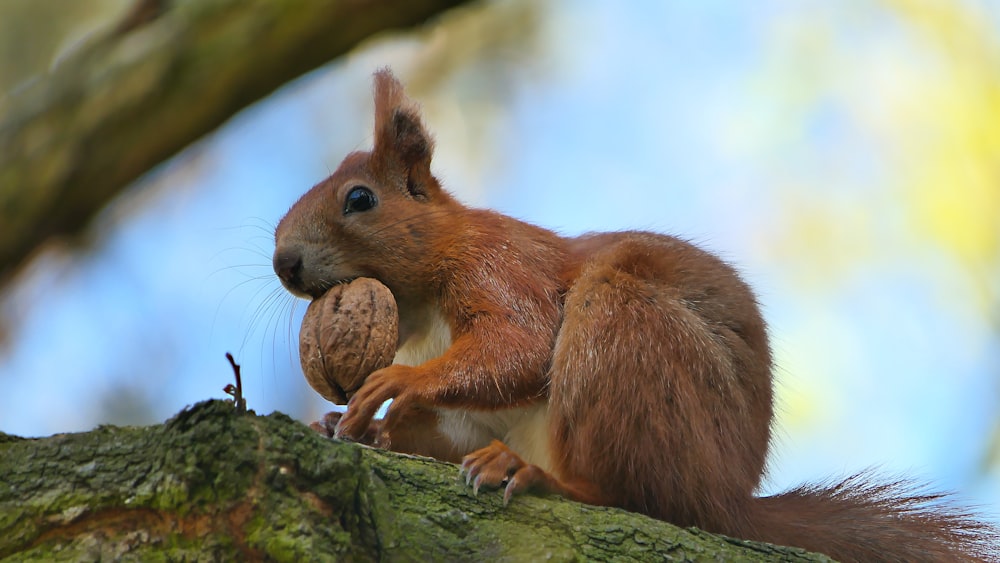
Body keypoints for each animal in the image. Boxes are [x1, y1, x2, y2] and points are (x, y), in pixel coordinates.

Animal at [274, 70, 1000, 563]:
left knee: (636, 495)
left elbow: (521, 345)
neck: (420, 313)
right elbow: (447, 426)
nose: (283, 262)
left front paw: (396, 388)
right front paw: (358, 427)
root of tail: (727, 499)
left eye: (360, 199)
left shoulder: (504, 266)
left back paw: (542, 478)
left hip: (624, 332)